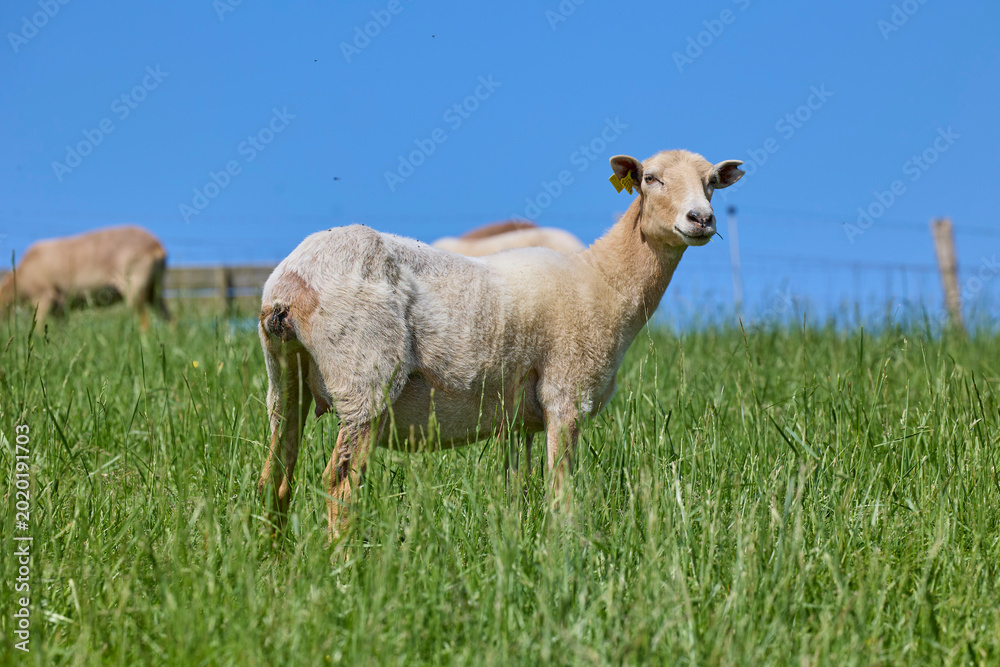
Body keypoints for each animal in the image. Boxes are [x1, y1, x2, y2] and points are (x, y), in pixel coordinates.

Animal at [0, 225, 170, 326]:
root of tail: (157, 246)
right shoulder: (60, 308)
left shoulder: (44, 296)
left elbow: (38, 325)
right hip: (154, 288)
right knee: (169, 317)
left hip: (134, 284)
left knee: (144, 322)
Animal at [257, 149, 744, 538]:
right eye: (650, 178)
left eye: (711, 182)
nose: (701, 219)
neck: (604, 281)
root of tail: (291, 281)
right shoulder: (565, 395)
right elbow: (561, 494)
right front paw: (565, 557)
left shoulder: (519, 421)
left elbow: (517, 490)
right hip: (365, 379)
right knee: (340, 485)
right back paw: (340, 567)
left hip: (284, 378)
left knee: (275, 478)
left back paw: (275, 561)